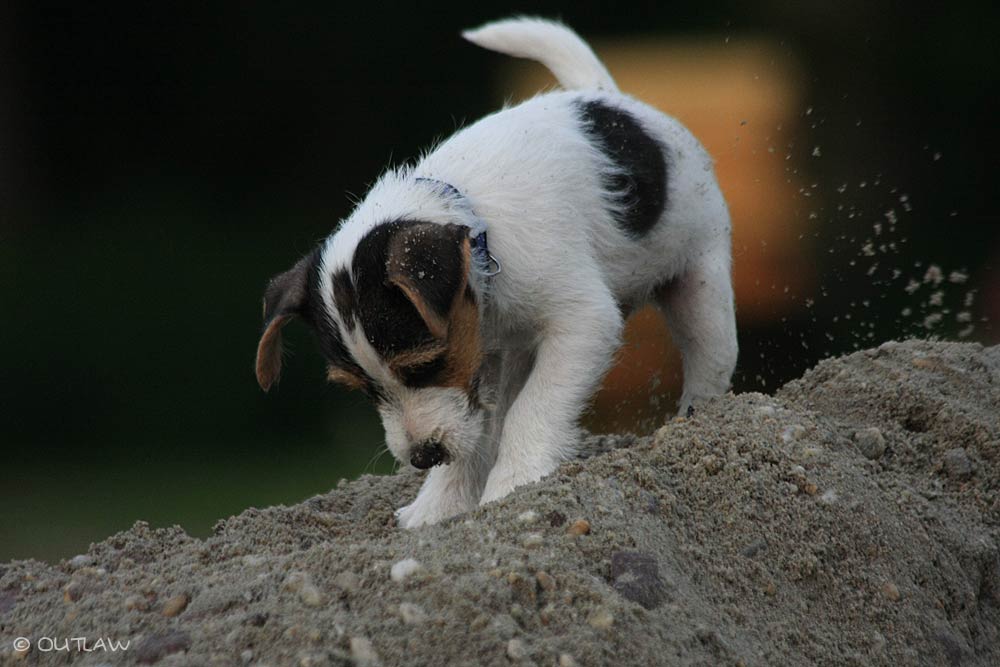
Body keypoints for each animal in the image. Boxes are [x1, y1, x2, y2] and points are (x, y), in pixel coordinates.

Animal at [254, 17, 740, 528]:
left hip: (700, 279)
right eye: (361, 387)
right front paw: (437, 507)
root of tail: (604, 95)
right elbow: (478, 429)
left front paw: (515, 482)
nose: (423, 457)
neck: (477, 229)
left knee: (710, 359)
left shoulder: (581, 322)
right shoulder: (478, 356)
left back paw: (697, 425)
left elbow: (533, 407)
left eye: (424, 365)